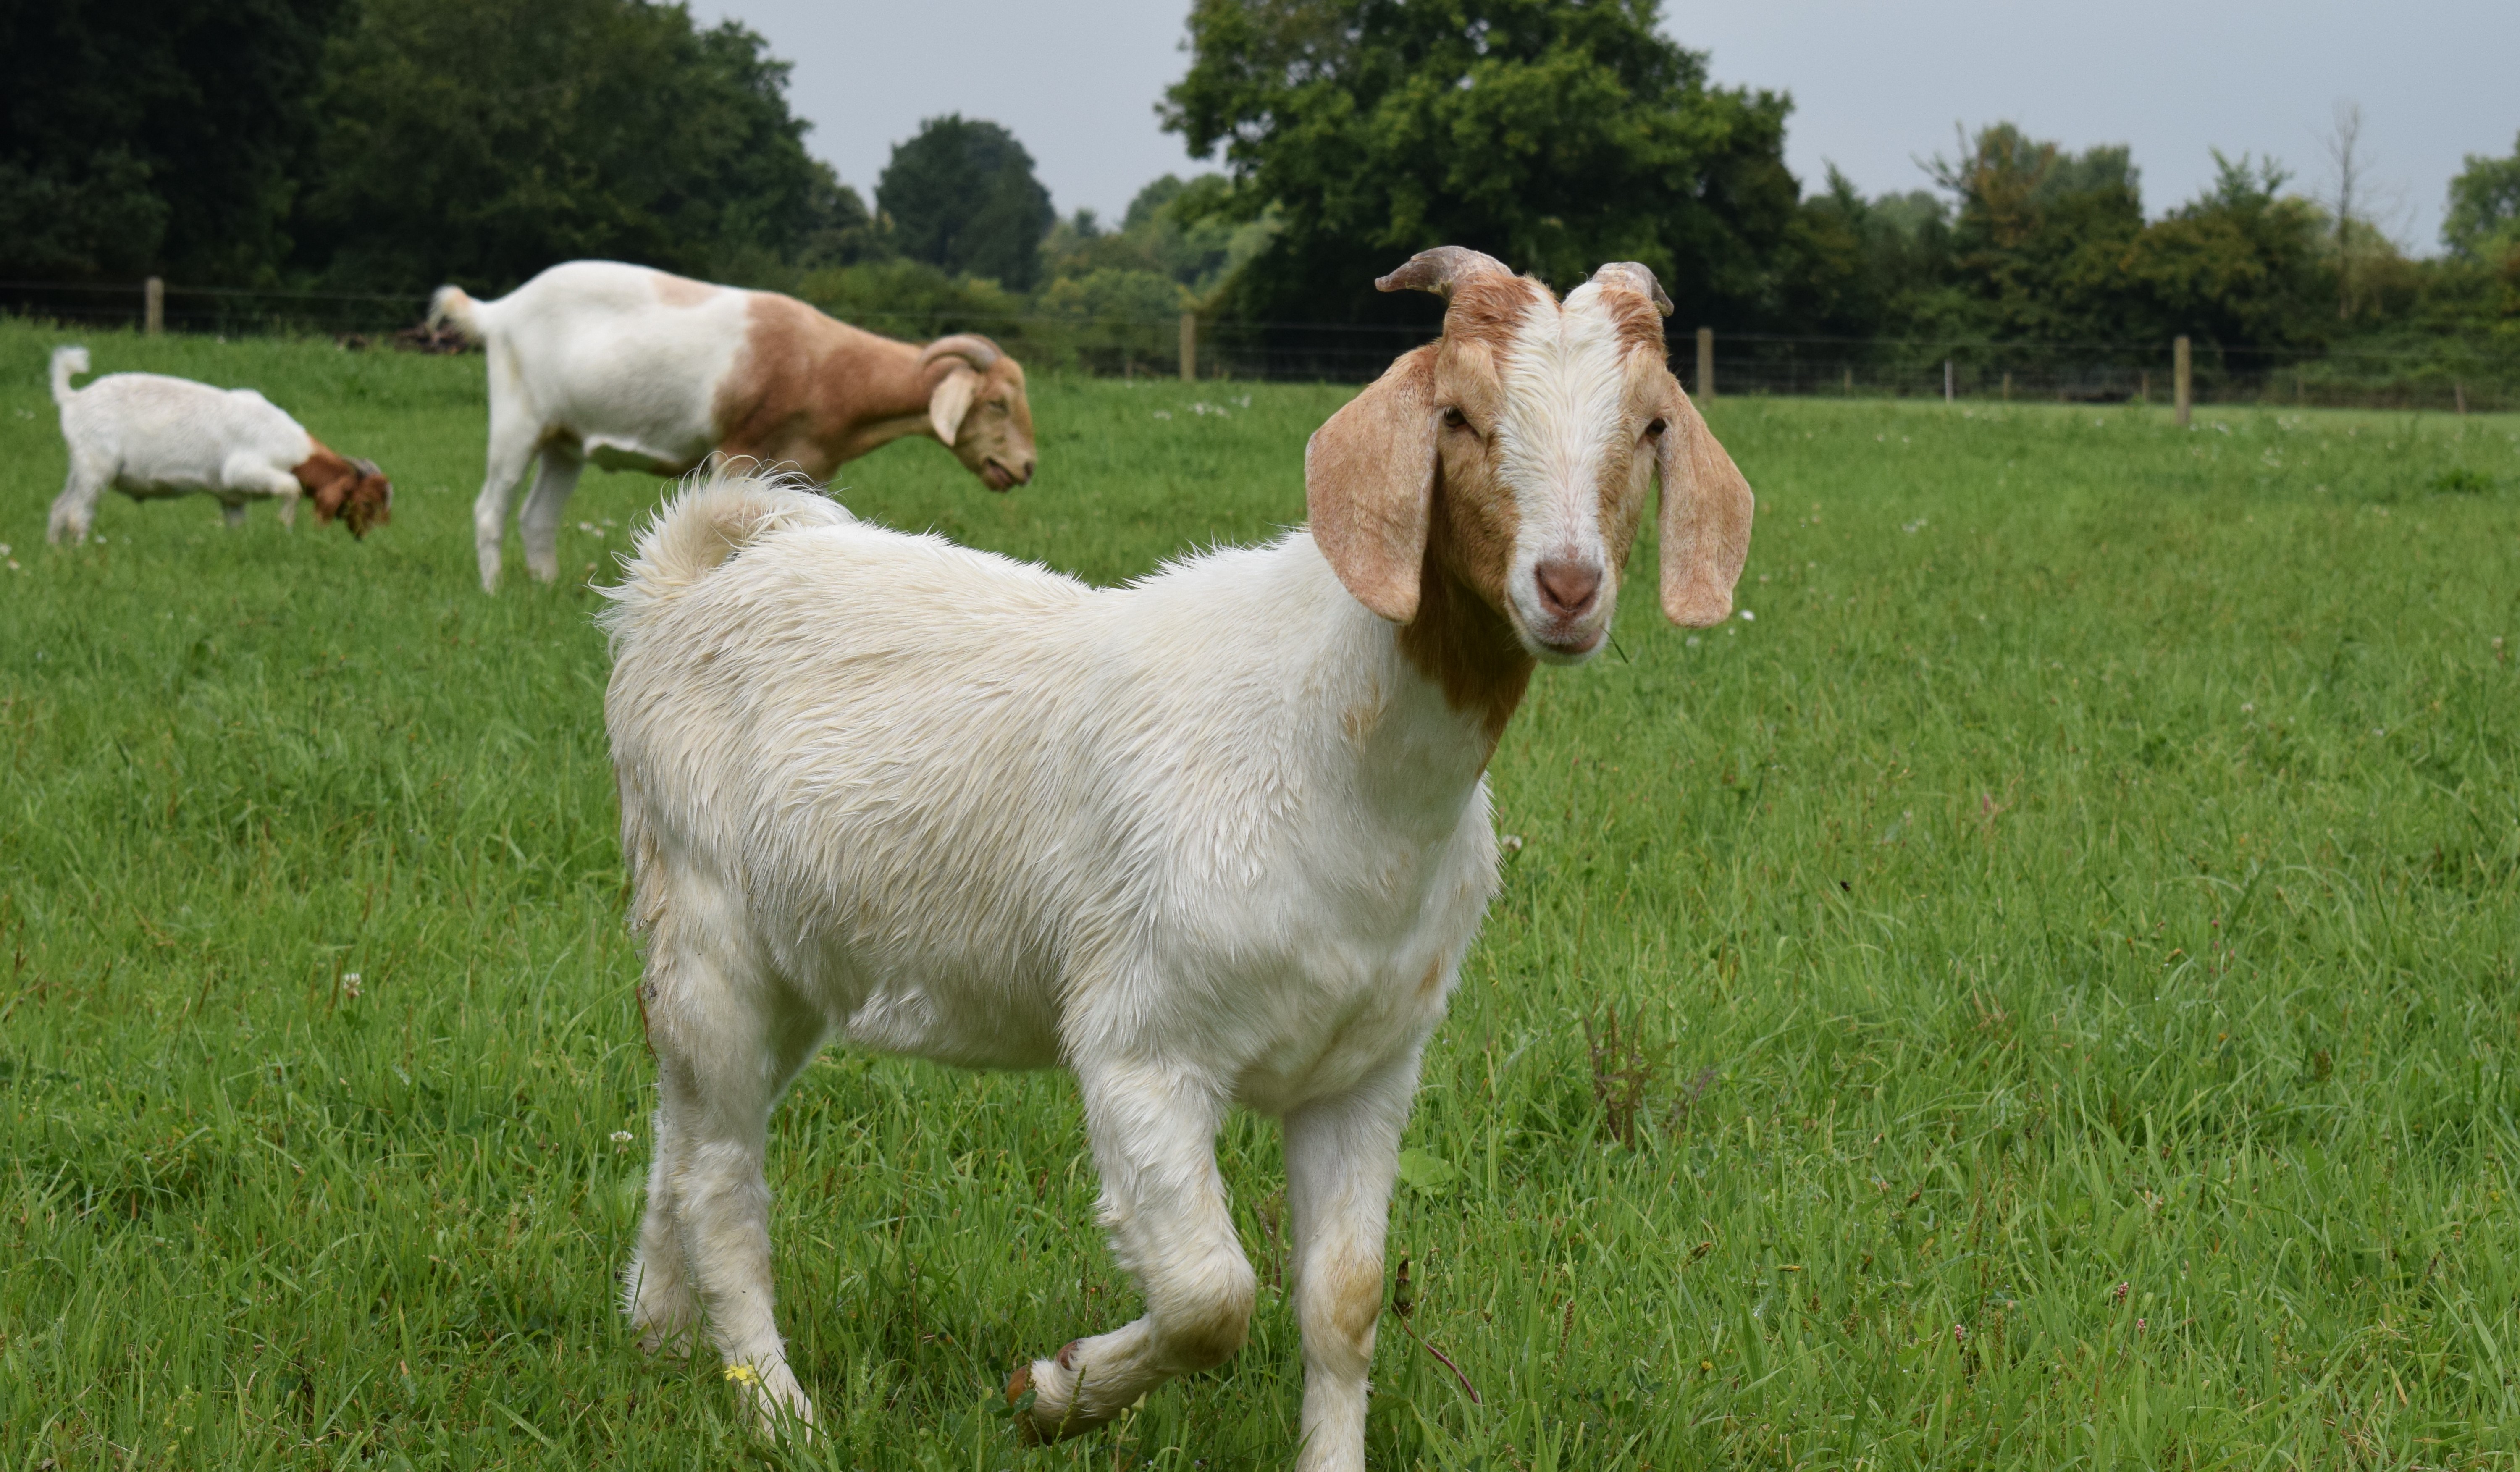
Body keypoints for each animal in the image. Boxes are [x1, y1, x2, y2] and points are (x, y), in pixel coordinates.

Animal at [45, 345, 393, 547]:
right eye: (366, 503)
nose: (373, 540)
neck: (294, 448)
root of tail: (73, 398)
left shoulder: (232, 497)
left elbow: (237, 526)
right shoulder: (243, 470)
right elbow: (292, 487)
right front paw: (286, 527)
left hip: (80, 466)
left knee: (59, 508)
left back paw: (55, 554)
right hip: (97, 466)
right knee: (78, 514)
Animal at [428, 262, 1038, 590]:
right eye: (997, 404)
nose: (1026, 467)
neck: (822, 362)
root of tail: (500, 310)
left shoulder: (808, 469)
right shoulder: (739, 450)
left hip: (566, 443)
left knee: (538, 518)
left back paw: (548, 588)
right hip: (517, 421)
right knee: (491, 508)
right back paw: (493, 590)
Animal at [602, 247, 1764, 1462]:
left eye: (1651, 425)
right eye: (1455, 413)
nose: (1568, 587)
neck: (1336, 752)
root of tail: (690, 577)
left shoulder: (1367, 1068)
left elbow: (1344, 1301)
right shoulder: (1140, 1047)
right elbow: (1213, 1295)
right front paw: (1053, 1390)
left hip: (782, 970)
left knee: (684, 1127)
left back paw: (660, 1331)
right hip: (709, 926)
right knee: (724, 1179)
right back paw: (778, 1410)